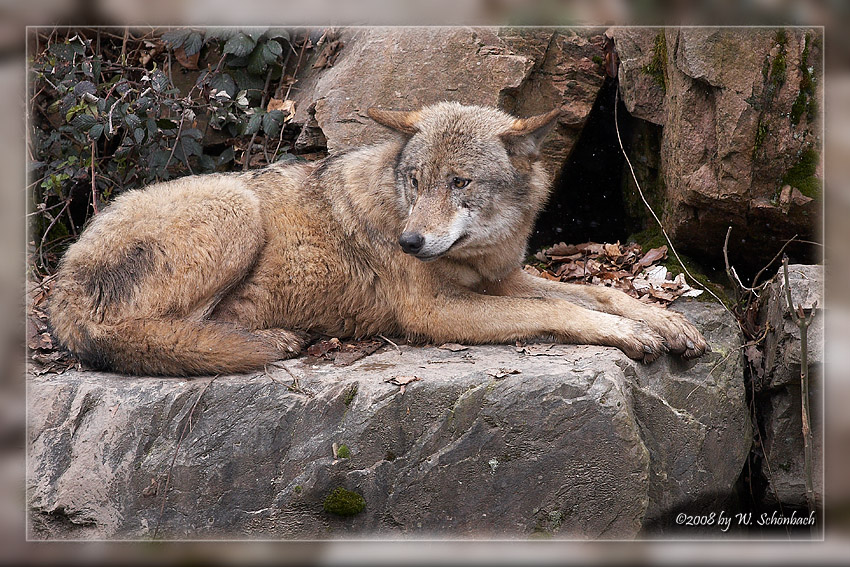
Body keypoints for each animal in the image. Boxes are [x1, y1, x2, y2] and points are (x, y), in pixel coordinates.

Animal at [48, 102, 707, 376]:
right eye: (415, 179)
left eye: (460, 182)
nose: (409, 243)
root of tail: (59, 289)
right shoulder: (435, 310)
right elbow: (554, 310)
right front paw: (633, 334)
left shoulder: (500, 276)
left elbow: (594, 293)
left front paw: (667, 321)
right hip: (235, 207)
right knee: (150, 334)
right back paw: (272, 341)